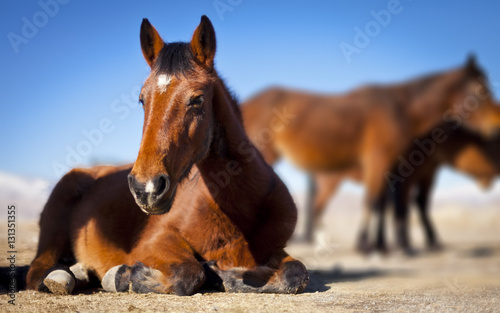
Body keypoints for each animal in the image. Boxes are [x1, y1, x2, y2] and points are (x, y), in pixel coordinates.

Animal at [27, 16, 310, 294]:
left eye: (197, 99)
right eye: (142, 99)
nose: (146, 188)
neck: (243, 206)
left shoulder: (276, 250)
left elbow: (296, 273)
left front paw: (229, 277)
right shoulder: (155, 242)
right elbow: (189, 273)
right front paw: (128, 276)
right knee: (38, 272)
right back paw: (66, 277)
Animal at [312, 120, 500, 252]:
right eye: (490, 146)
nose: (491, 177)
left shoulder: (426, 175)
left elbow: (412, 205)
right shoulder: (405, 177)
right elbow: (399, 207)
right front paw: (401, 244)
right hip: (330, 184)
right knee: (318, 208)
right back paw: (321, 244)